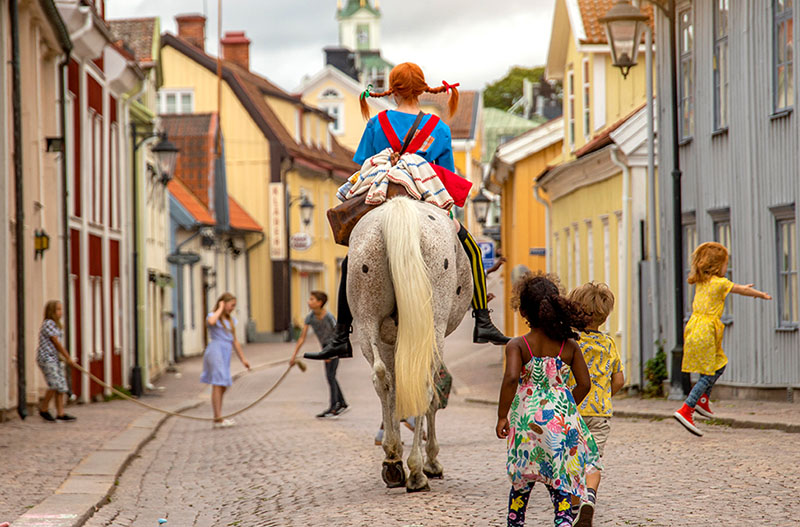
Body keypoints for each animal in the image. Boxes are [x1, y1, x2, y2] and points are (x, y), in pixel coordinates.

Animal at [346, 196, 472, 492]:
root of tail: (398, 208)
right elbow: (432, 394)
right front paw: (431, 461)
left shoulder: (390, 340)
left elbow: (394, 389)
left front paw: (394, 454)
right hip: (432, 326)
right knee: (423, 385)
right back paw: (416, 472)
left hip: (367, 320)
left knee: (381, 378)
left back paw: (393, 462)